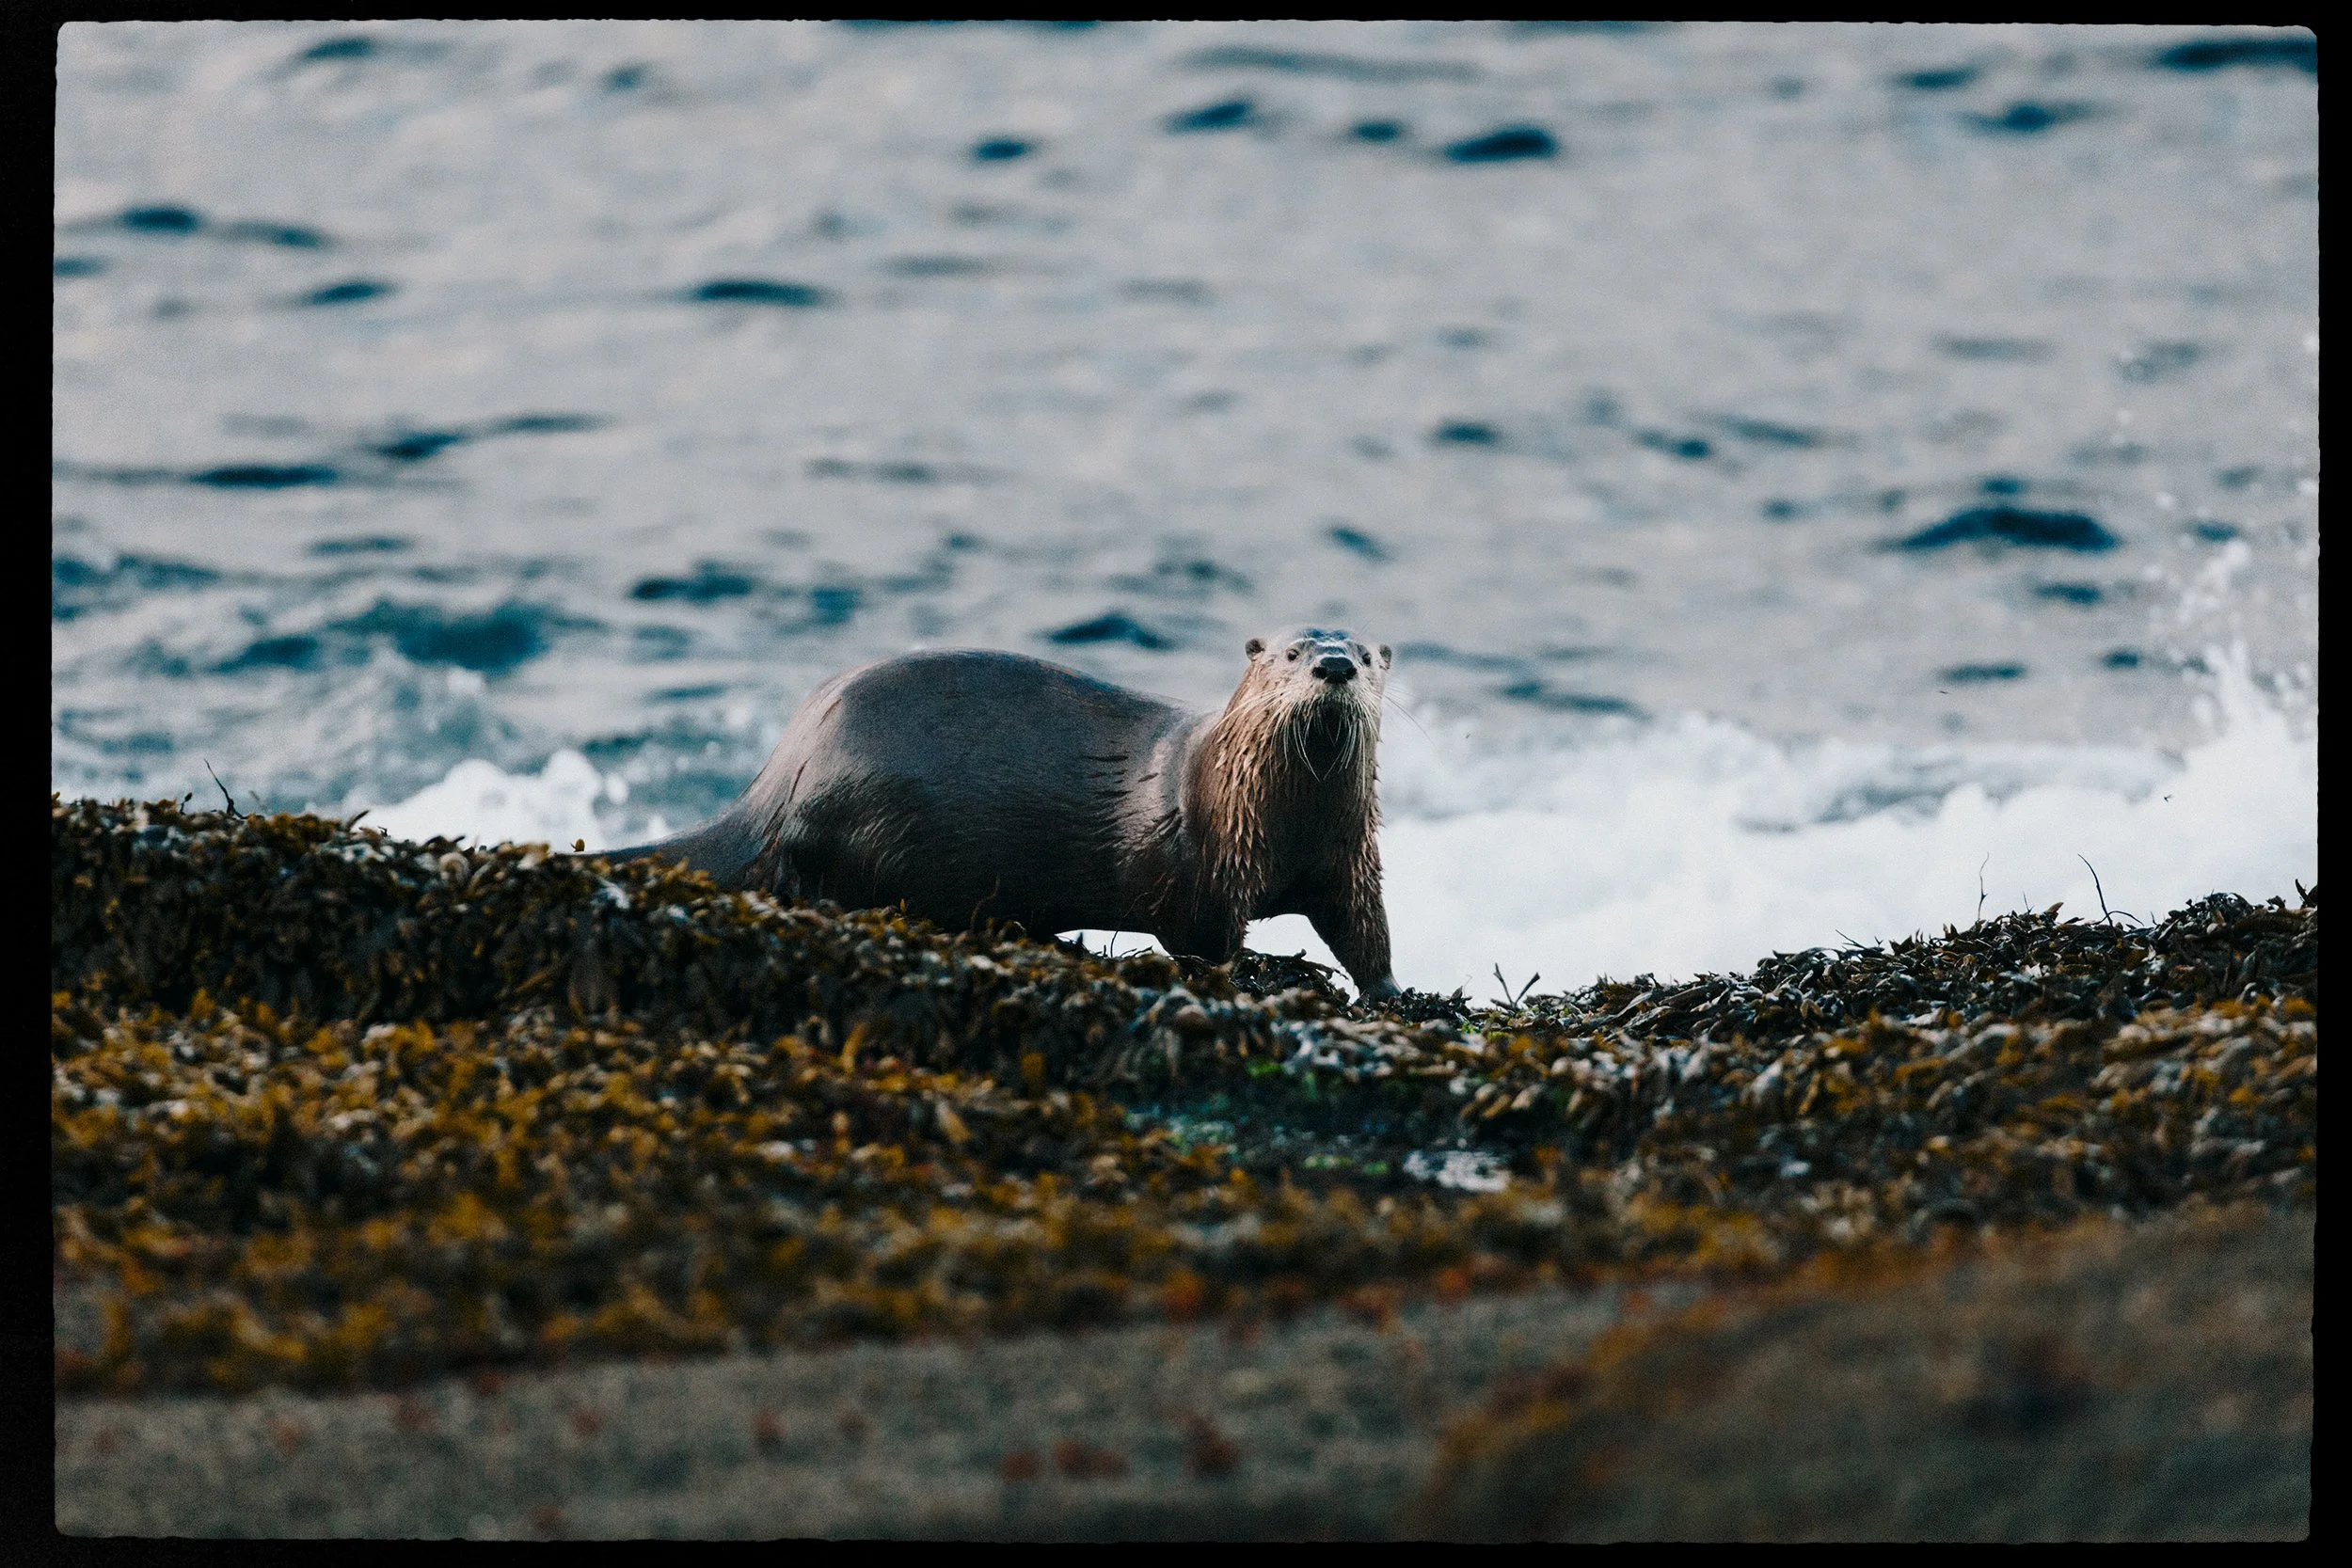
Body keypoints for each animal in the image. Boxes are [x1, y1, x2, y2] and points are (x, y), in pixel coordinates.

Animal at [609, 628, 1400, 997]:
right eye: (1292, 653)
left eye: (1365, 655)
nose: (1333, 665)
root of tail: (776, 779)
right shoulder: (1195, 862)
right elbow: (1204, 940)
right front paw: (1271, 965)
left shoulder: (1349, 860)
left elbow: (1365, 930)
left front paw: (1390, 990)